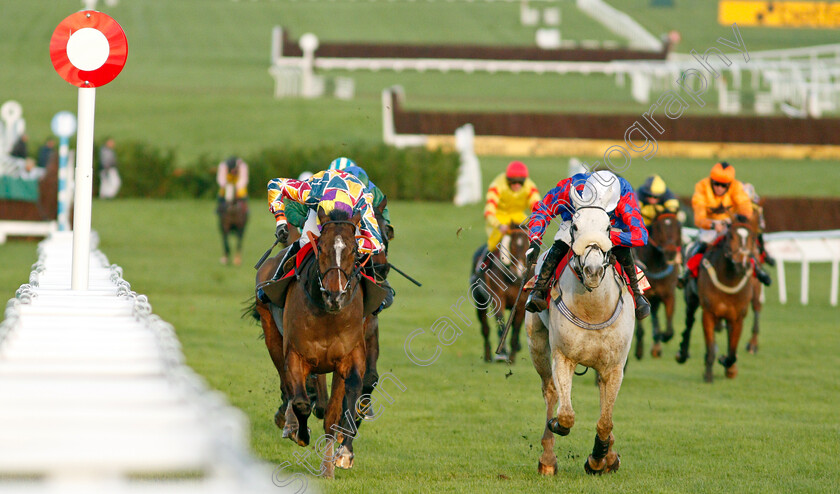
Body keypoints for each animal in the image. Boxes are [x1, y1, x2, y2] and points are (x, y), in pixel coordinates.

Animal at [476, 224, 528, 362]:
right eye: (512, 245)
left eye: (527, 245)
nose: (519, 271)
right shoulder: (498, 297)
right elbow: (501, 323)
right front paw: (503, 353)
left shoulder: (521, 304)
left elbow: (516, 330)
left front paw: (512, 356)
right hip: (480, 301)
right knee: (485, 329)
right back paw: (488, 356)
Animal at [524, 188, 632, 474]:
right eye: (575, 226)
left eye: (608, 227)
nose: (593, 270)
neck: (593, 311)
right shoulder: (563, 357)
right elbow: (566, 415)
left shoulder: (614, 366)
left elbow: (606, 420)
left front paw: (600, 459)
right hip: (537, 344)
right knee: (550, 392)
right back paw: (547, 460)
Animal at [632, 212, 680, 358]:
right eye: (659, 228)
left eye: (678, 226)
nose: (671, 252)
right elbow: (640, 326)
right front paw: (639, 350)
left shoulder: (669, 295)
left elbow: (670, 331)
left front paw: (663, 336)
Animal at [672, 216, 756, 382]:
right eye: (730, 236)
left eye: (751, 236)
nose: (742, 263)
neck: (729, 279)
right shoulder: (709, 313)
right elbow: (710, 346)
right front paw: (708, 374)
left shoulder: (738, 317)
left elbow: (732, 352)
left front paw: (726, 363)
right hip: (691, 298)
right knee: (689, 322)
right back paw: (682, 353)